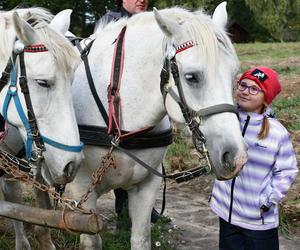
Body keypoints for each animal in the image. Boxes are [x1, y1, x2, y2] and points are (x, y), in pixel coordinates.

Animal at [67, 2, 247, 250]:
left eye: (233, 74)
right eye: (191, 77)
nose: (236, 158)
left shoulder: (147, 186)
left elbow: (141, 238)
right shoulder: (83, 191)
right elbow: (91, 242)